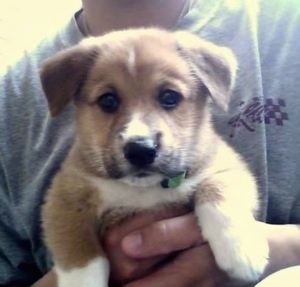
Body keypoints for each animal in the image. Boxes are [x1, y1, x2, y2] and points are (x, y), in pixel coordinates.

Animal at [40, 28, 270, 287]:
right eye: (108, 100)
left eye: (169, 97)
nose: (140, 150)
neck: (144, 190)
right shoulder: (64, 198)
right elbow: (80, 253)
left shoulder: (228, 167)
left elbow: (218, 190)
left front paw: (240, 250)